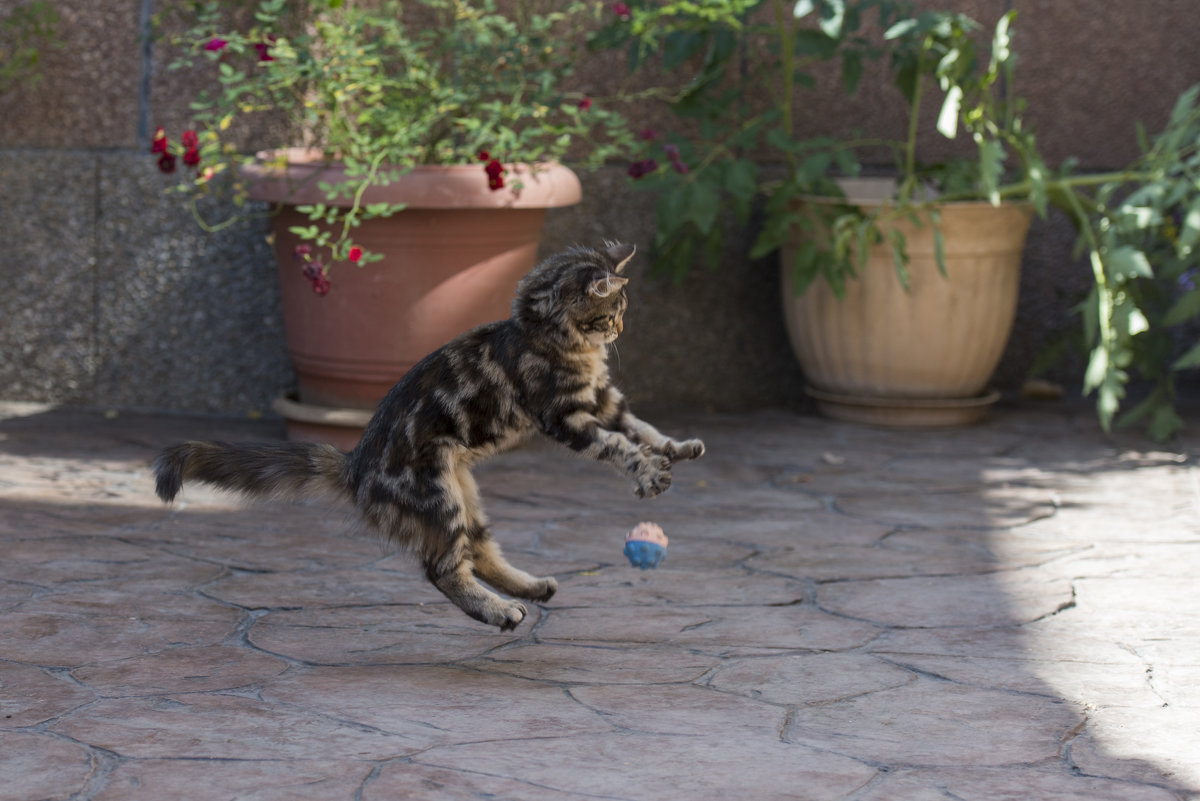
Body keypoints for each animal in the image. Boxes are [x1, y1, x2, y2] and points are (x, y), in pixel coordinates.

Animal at [154, 241, 705, 628]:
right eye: (612, 312)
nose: (618, 330)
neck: (545, 335)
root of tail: (355, 467)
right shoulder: (567, 415)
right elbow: (618, 446)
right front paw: (649, 473)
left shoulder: (603, 399)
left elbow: (641, 426)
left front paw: (677, 448)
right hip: (439, 496)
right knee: (443, 570)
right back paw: (499, 612)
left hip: (466, 495)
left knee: (479, 552)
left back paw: (528, 588)